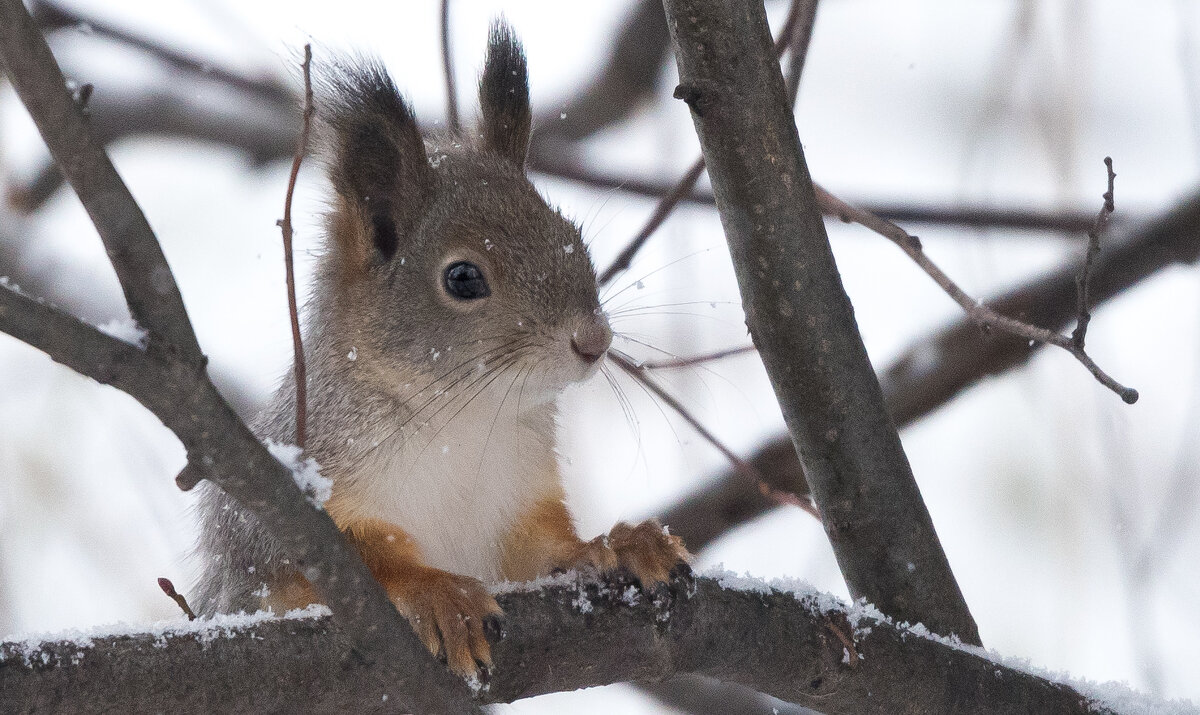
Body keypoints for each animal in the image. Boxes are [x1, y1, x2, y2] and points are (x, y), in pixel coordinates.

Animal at [192, 20, 691, 681]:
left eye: (573, 237)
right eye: (462, 278)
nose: (594, 342)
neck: (464, 418)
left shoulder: (516, 507)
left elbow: (545, 552)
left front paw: (620, 544)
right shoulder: (273, 519)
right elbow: (357, 560)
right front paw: (438, 594)